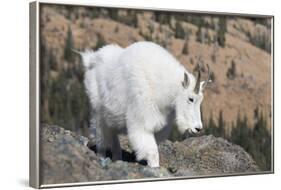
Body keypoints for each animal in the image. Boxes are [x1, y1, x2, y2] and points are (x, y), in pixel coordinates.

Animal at [77, 41, 209, 166]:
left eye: (201, 100)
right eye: (190, 99)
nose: (198, 128)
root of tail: (91, 59)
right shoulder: (142, 122)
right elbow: (152, 152)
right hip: (98, 111)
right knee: (101, 136)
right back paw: (102, 156)